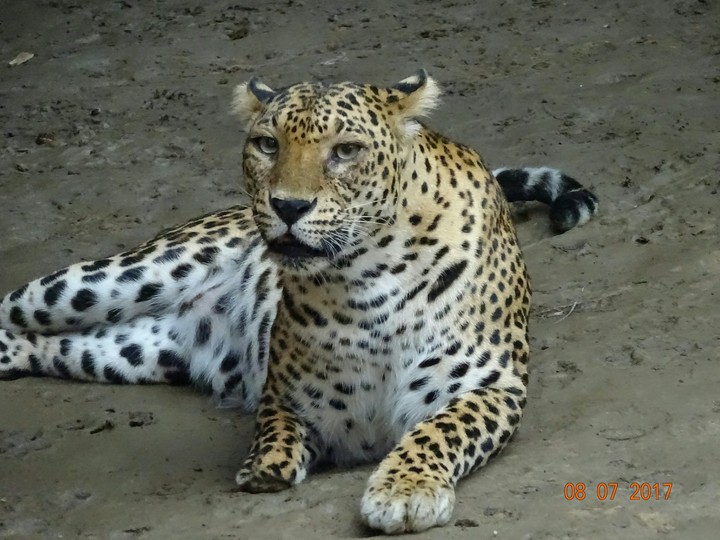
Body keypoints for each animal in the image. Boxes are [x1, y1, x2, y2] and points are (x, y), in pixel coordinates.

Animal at [0, 71, 598, 533]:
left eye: (346, 151)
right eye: (268, 144)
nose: (287, 206)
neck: (370, 275)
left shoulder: (490, 386)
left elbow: (438, 431)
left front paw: (404, 490)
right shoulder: (286, 394)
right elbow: (277, 428)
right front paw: (267, 464)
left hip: (128, 350)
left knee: (50, 346)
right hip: (101, 283)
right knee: (15, 306)